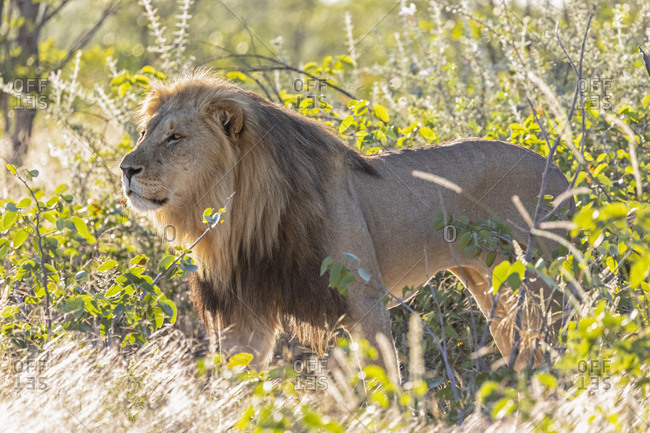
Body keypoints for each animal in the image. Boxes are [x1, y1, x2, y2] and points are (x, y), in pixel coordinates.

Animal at [120, 69, 572, 373]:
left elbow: (384, 379)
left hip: (541, 287)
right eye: (144, 133)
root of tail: (558, 170)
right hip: (491, 287)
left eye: (175, 138)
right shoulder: (243, 311)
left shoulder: (364, 300)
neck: (241, 215)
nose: (125, 168)